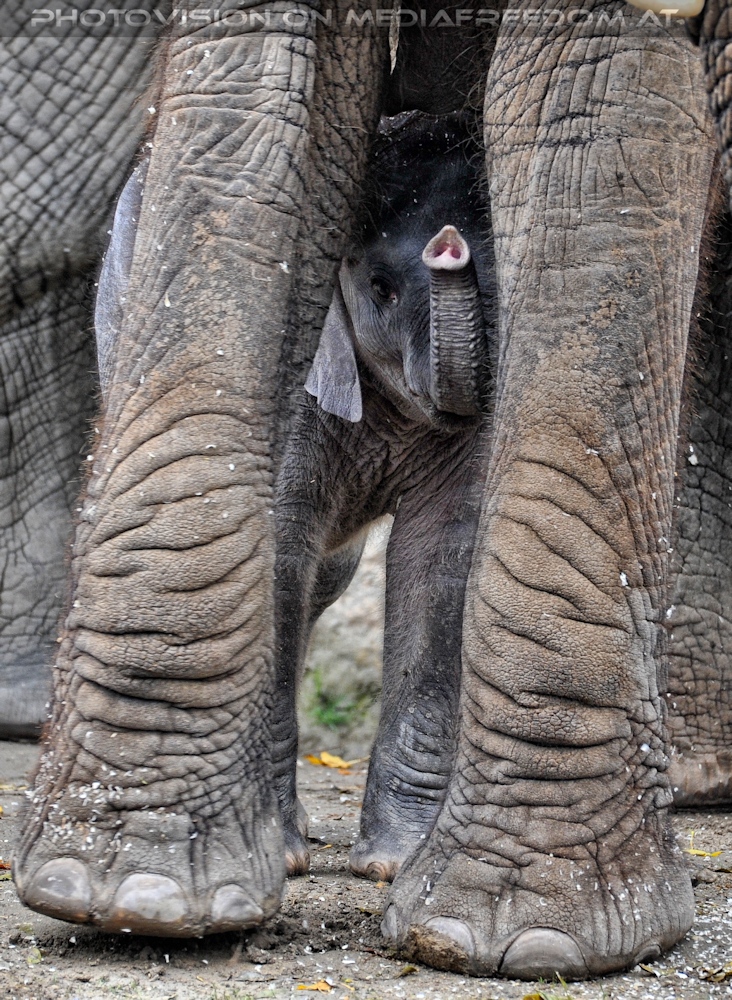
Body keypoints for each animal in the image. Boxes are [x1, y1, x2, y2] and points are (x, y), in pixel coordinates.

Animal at [273, 109, 493, 878]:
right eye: (380, 287)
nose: (449, 247)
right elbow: (279, 546)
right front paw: (278, 855)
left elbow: (439, 562)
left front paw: (394, 864)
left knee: (329, 580)